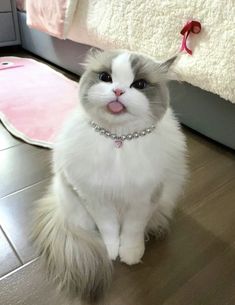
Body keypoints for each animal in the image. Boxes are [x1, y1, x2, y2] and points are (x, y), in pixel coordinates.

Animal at [32, 48, 187, 302]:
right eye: (106, 78)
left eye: (139, 84)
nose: (117, 91)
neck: (119, 139)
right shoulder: (96, 199)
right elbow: (109, 229)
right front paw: (112, 251)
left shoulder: (144, 199)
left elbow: (133, 231)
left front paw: (131, 254)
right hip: (76, 206)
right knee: (87, 229)